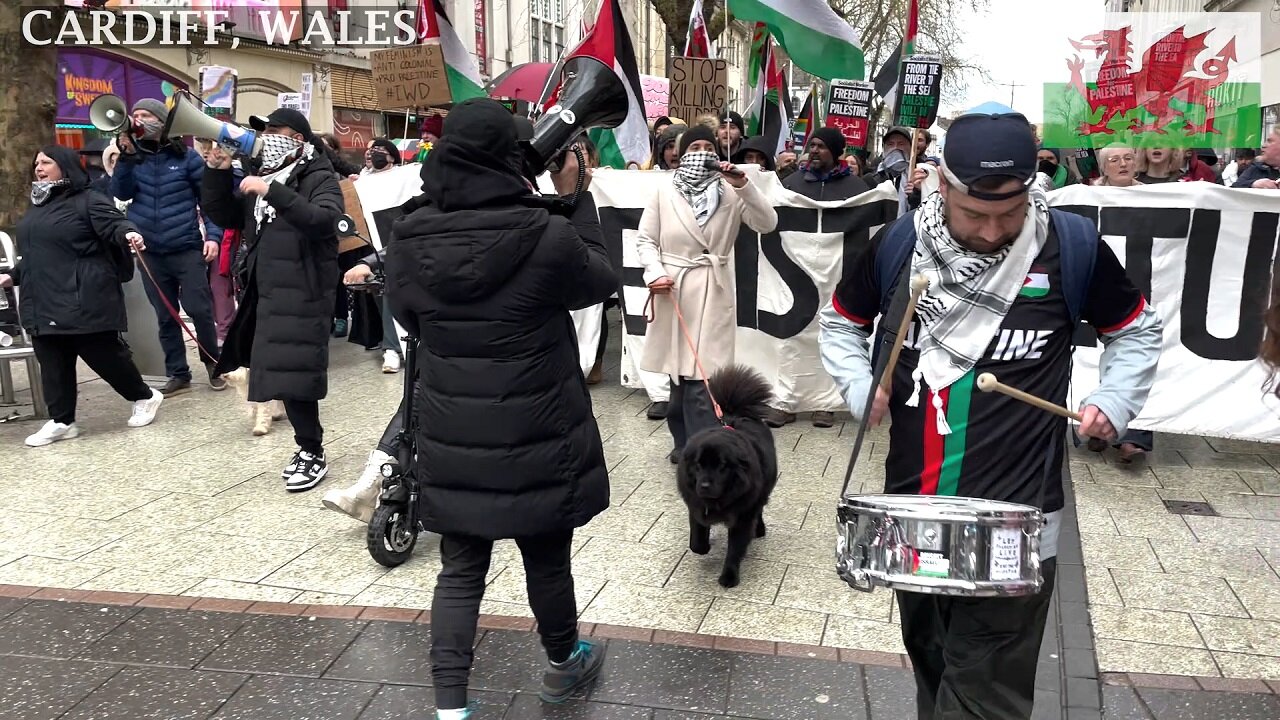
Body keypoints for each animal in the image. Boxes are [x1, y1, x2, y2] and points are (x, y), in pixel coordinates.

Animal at [675, 361, 773, 586]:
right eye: (698, 465)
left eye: (722, 466)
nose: (704, 485)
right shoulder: (696, 507)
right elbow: (696, 541)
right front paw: (704, 547)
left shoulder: (742, 516)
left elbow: (735, 549)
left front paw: (729, 576)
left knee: (760, 509)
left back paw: (759, 530)